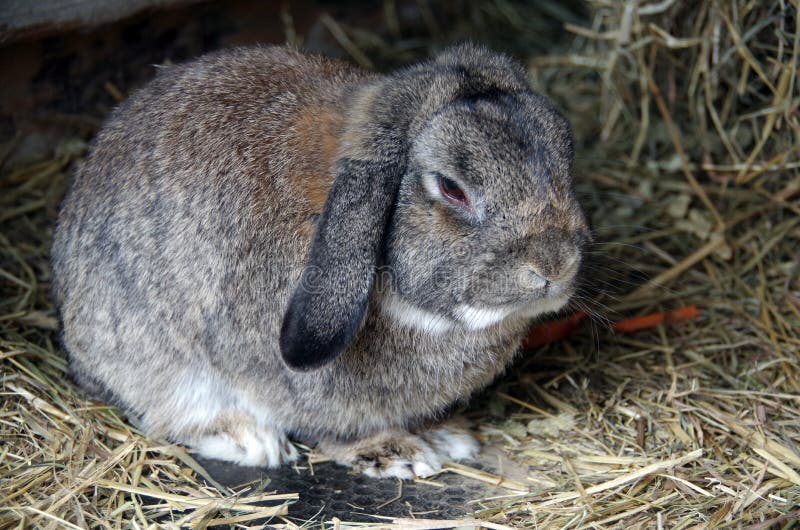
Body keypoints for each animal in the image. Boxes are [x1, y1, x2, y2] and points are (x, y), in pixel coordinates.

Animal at [51, 43, 590, 479]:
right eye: (452, 189)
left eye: (566, 163)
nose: (553, 267)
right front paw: (395, 454)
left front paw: (444, 436)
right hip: (158, 360)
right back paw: (253, 441)